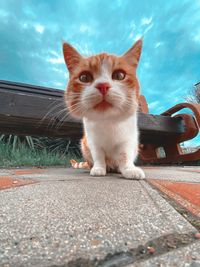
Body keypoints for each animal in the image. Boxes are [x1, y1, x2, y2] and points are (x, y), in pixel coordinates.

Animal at [63, 39, 145, 180]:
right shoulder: (92, 142)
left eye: (119, 75)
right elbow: (98, 156)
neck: (108, 120)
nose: (103, 85)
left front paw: (129, 169)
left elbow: (125, 156)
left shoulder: (128, 140)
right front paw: (99, 168)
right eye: (84, 77)